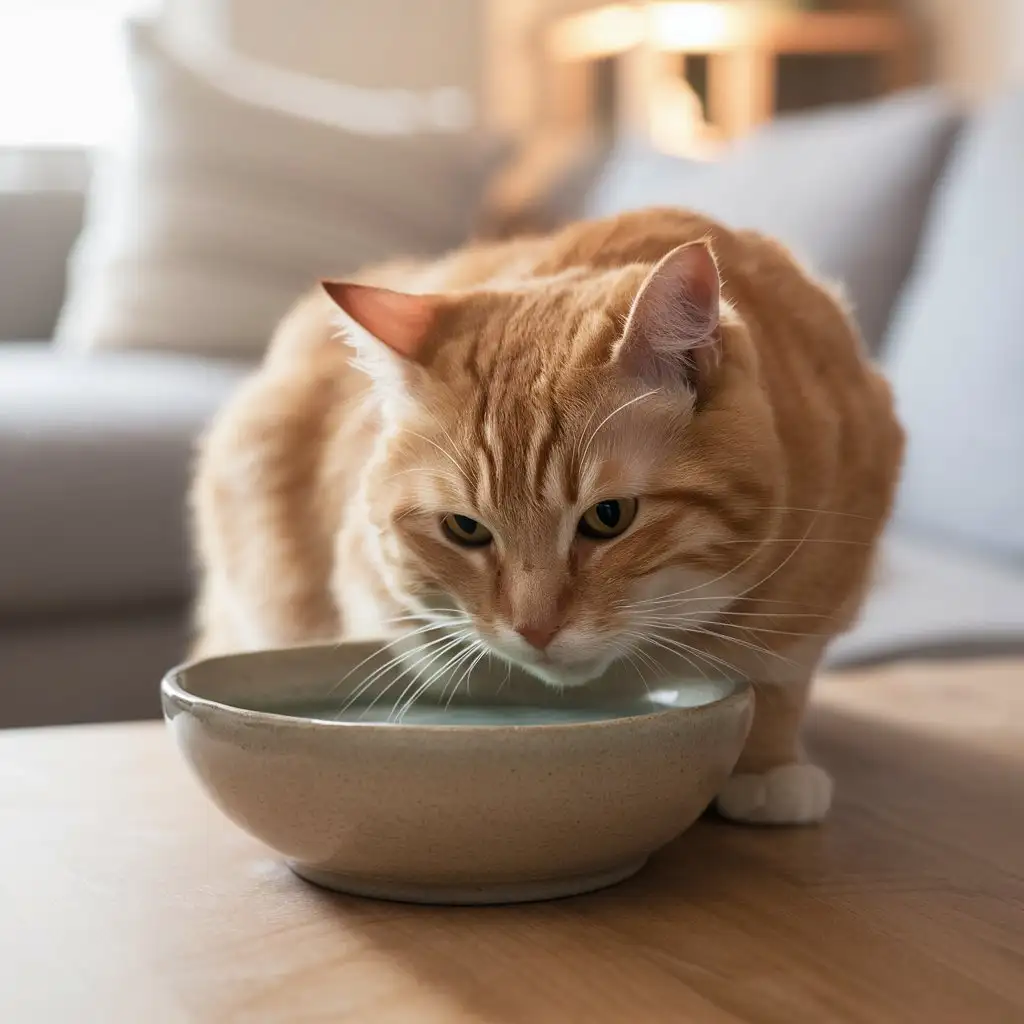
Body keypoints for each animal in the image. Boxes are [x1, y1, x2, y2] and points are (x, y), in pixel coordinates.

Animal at [192, 205, 905, 823]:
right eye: (465, 529)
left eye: (609, 517)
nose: (534, 630)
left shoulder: (818, 587)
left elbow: (778, 674)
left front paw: (768, 765)